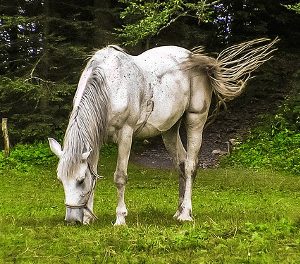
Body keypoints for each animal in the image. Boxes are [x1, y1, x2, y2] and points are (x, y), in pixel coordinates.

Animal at [48, 37, 276, 225]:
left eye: (79, 180)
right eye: (60, 180)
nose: (72, 220)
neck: (109, 86)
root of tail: (194, 58)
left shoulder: (126, 135)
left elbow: (120, 177)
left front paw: (120, 218)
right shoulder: (96, 139)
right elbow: (95, 174)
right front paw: (88, 217)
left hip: (195, 120)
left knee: (190, 166)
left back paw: (186, 214)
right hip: (170, 131)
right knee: (181, 164)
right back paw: (179, 211)